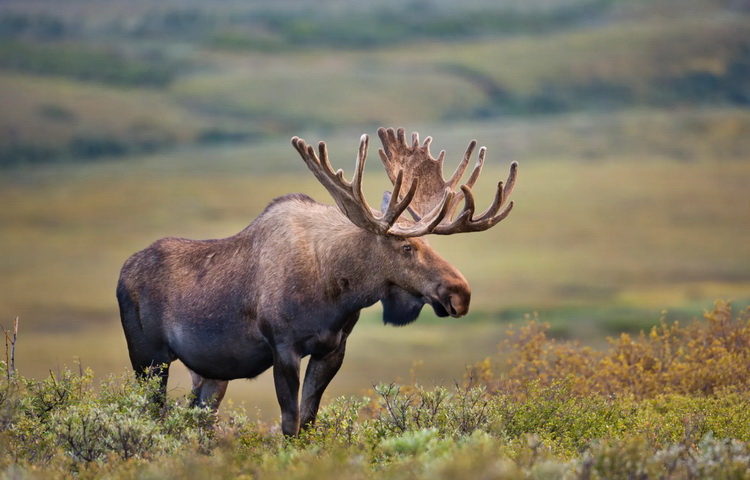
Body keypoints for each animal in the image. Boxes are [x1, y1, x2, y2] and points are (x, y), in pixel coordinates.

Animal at [116, 126, 516, 436]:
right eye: (406, 246)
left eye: (429, 243)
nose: (460, 293)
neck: (336, 290)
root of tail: (122, 272)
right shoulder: (283, 347)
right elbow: (290, 423)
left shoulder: (332, 349)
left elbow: (308, 420)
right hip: (148, 358)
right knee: (150, 414)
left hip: (210, 373)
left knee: (196, 420)